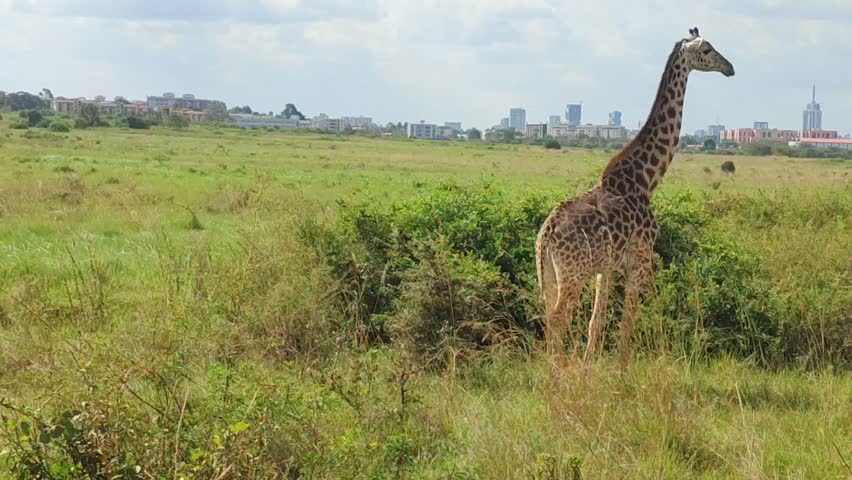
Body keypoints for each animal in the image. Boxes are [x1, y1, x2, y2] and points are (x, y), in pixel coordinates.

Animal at [536, 28, 734, 370]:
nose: (730, 67)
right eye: (708, 49)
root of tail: (546, 233)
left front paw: (589, 369)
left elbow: (597, 322)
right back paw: (557, 376)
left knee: (549, 318)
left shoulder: (606, 267)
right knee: (559, 319)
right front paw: (622, 371)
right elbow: (629, 320)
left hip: (548, 272)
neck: (645, 180)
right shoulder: (640, 260)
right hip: (573, 273)